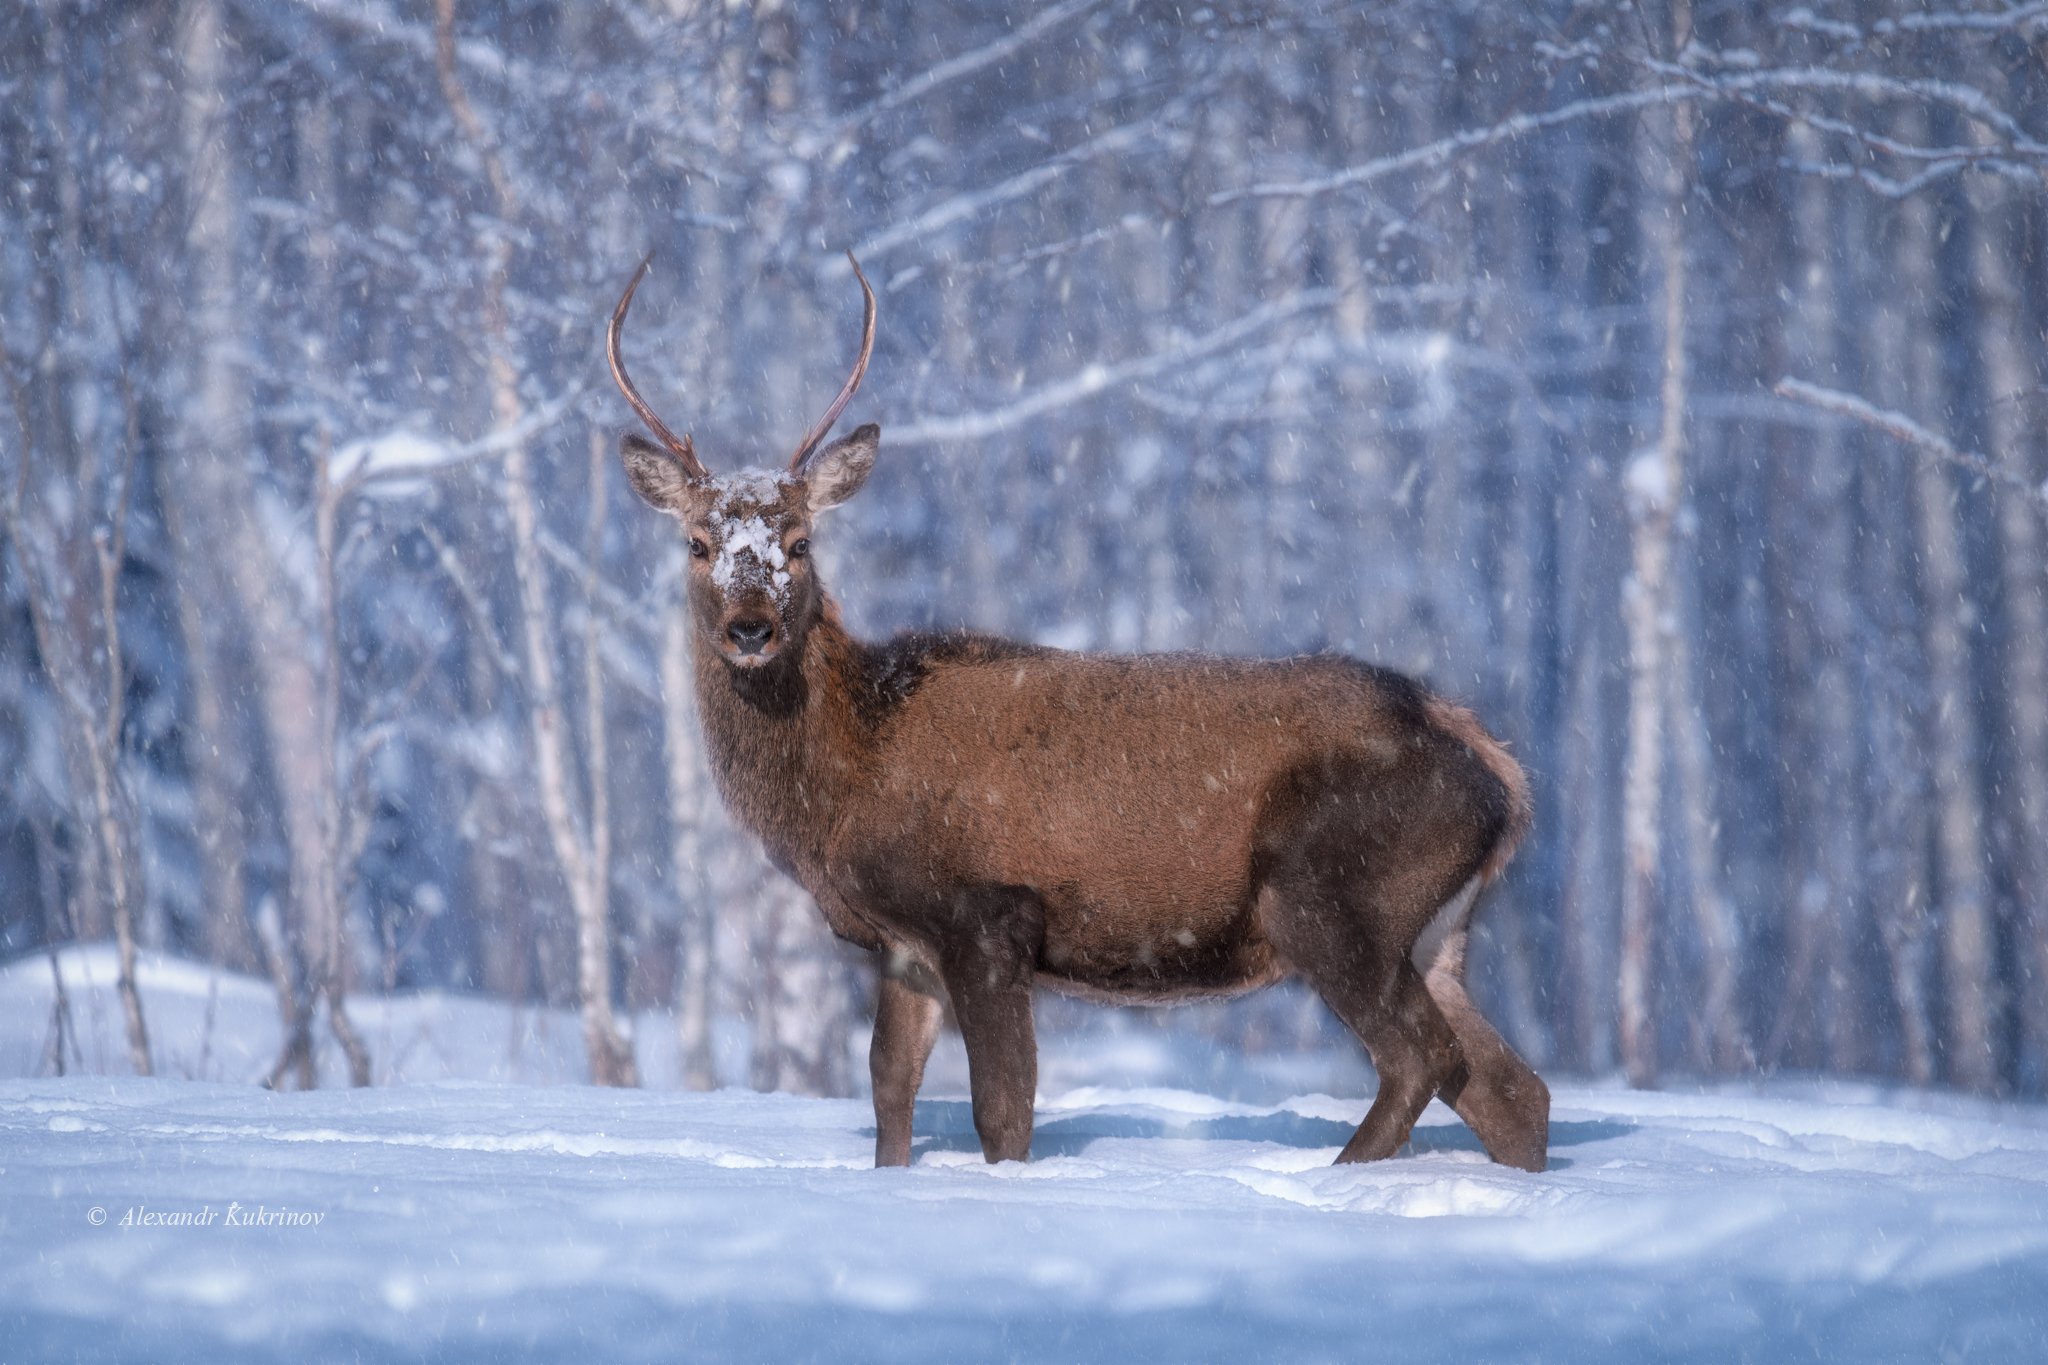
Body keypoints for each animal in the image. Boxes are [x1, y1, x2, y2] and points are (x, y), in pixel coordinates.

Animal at [614, 255, 1540, 1178]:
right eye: (698, 543)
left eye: (801, 543)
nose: (750, 628)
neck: (846, 778)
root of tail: (1500, 770)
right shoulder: (905, 946)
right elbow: (889, 1095)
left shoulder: (986, 914)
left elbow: (1002, 1110)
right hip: (1433, 932)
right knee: (1514, 1094)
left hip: (1333, 894)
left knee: (1422, 1057)